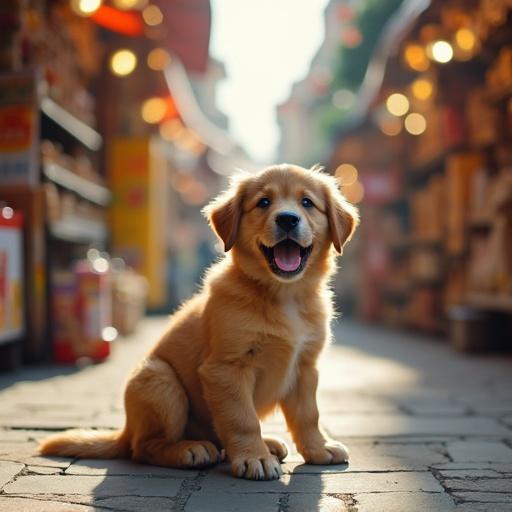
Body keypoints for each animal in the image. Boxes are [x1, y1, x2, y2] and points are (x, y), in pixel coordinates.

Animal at [40, 164, 358, 480]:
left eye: (307, 203)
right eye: (264, 203)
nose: (288, 219)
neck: (283, 295)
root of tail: (126, 430)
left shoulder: (305, 367)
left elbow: (308, 415)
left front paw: (318, 448)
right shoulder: (226, 368)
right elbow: (242, 419)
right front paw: (254, 457)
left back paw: (265, 443)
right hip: (160, 381)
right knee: (143, 448)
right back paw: (189, 449)